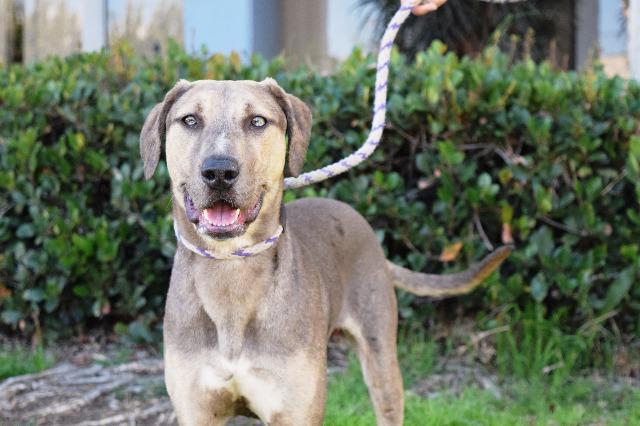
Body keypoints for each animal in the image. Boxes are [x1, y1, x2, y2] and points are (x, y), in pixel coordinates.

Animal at [140, 78, 510, 424]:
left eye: (257, 121)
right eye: (190, 120)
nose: (219, 171)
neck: (230, 268)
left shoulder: (297, 412)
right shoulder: (197, 410)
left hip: (382, 362)